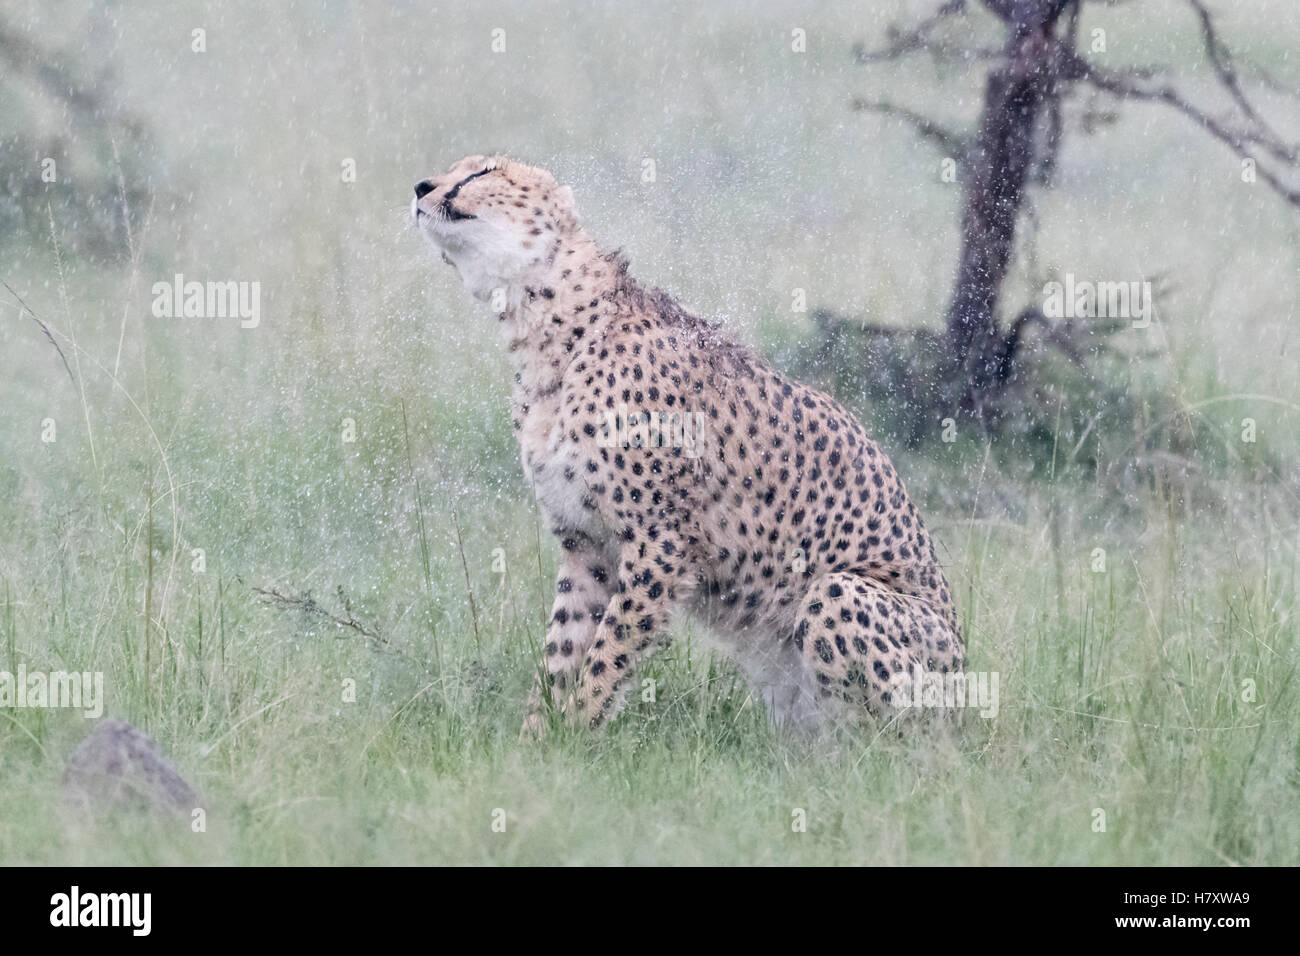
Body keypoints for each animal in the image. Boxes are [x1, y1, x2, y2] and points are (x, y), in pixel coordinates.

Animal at [410, 153, 961, 728]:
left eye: (482, 173)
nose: (421, 187)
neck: (547, 328)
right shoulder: (587, 546)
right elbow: (562, 652)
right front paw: (541, 735)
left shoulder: (663, 541)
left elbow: (610, 651)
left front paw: (580, 729)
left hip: (841, 595)